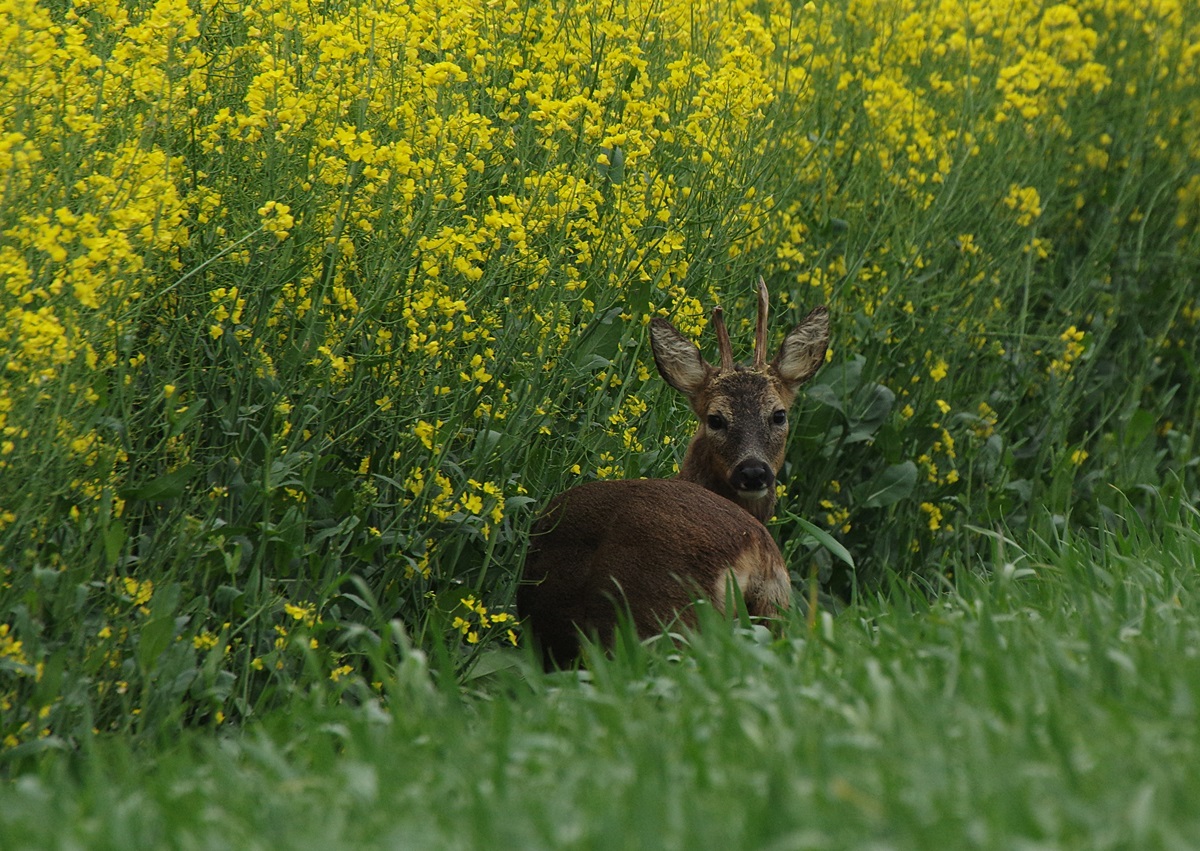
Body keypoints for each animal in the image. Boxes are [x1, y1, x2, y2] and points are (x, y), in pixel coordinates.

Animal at [520, 277, 830, 662]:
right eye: (715, 419)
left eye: (779, 415)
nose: (753, 472)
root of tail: (755, 551)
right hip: (772, 613)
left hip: (661, 619)